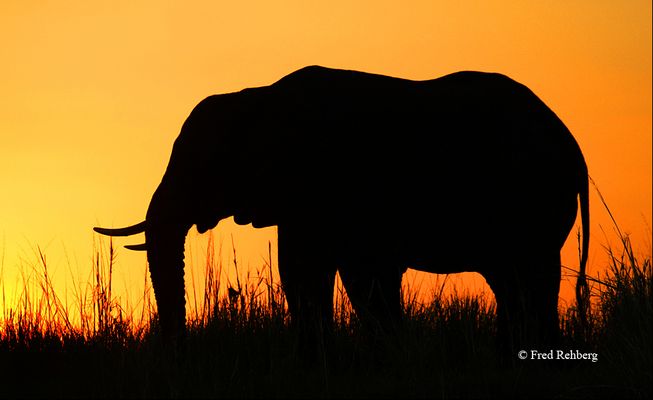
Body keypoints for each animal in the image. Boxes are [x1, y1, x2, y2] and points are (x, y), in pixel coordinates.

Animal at [94, 65, 588, 356]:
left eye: (200, 165)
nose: (177, 350)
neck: (257, 98)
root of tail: (572, 145)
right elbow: (311, 272)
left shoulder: (331, 185)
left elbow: (344, 273)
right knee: (512, 283)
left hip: (536, 199)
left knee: (532, 279)